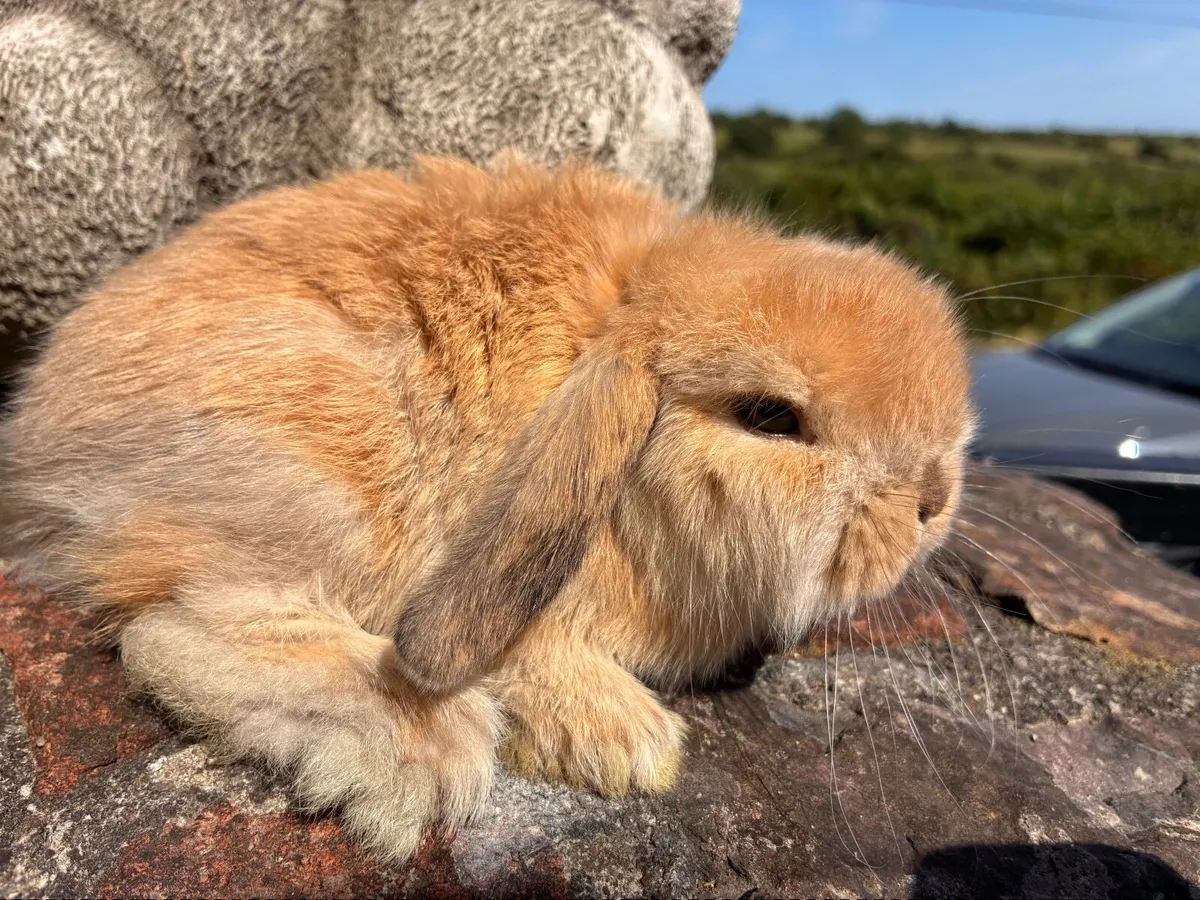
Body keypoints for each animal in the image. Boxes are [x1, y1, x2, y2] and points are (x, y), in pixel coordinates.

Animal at [0, 154, 973, 860]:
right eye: (771, 417)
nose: (934, 501)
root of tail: (41, 441)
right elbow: (531, 655)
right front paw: (631, 746)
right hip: (324, 469)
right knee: (173, 629)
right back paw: (418, 748)